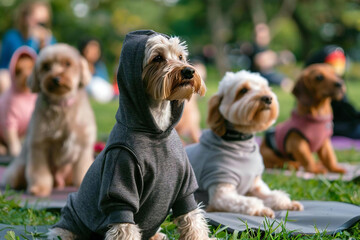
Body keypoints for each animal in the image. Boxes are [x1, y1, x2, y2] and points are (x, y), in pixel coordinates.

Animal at [2, 43, 95, 197]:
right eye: (46, 66)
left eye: (68, 63)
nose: (56, 79)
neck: (61, 105)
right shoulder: (39, 146)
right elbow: (39, 172)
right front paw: (39, 188)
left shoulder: (83, 146)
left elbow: (83, 169)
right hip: (19, 168)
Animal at [186, 71, 304, 218]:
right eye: (243, 90)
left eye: (265, 87)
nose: (267, 98)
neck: (241, 144)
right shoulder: (221, 189)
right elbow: (249, 202)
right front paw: (262, 209)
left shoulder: (255, 185)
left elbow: (274, 196)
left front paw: (288, 203)